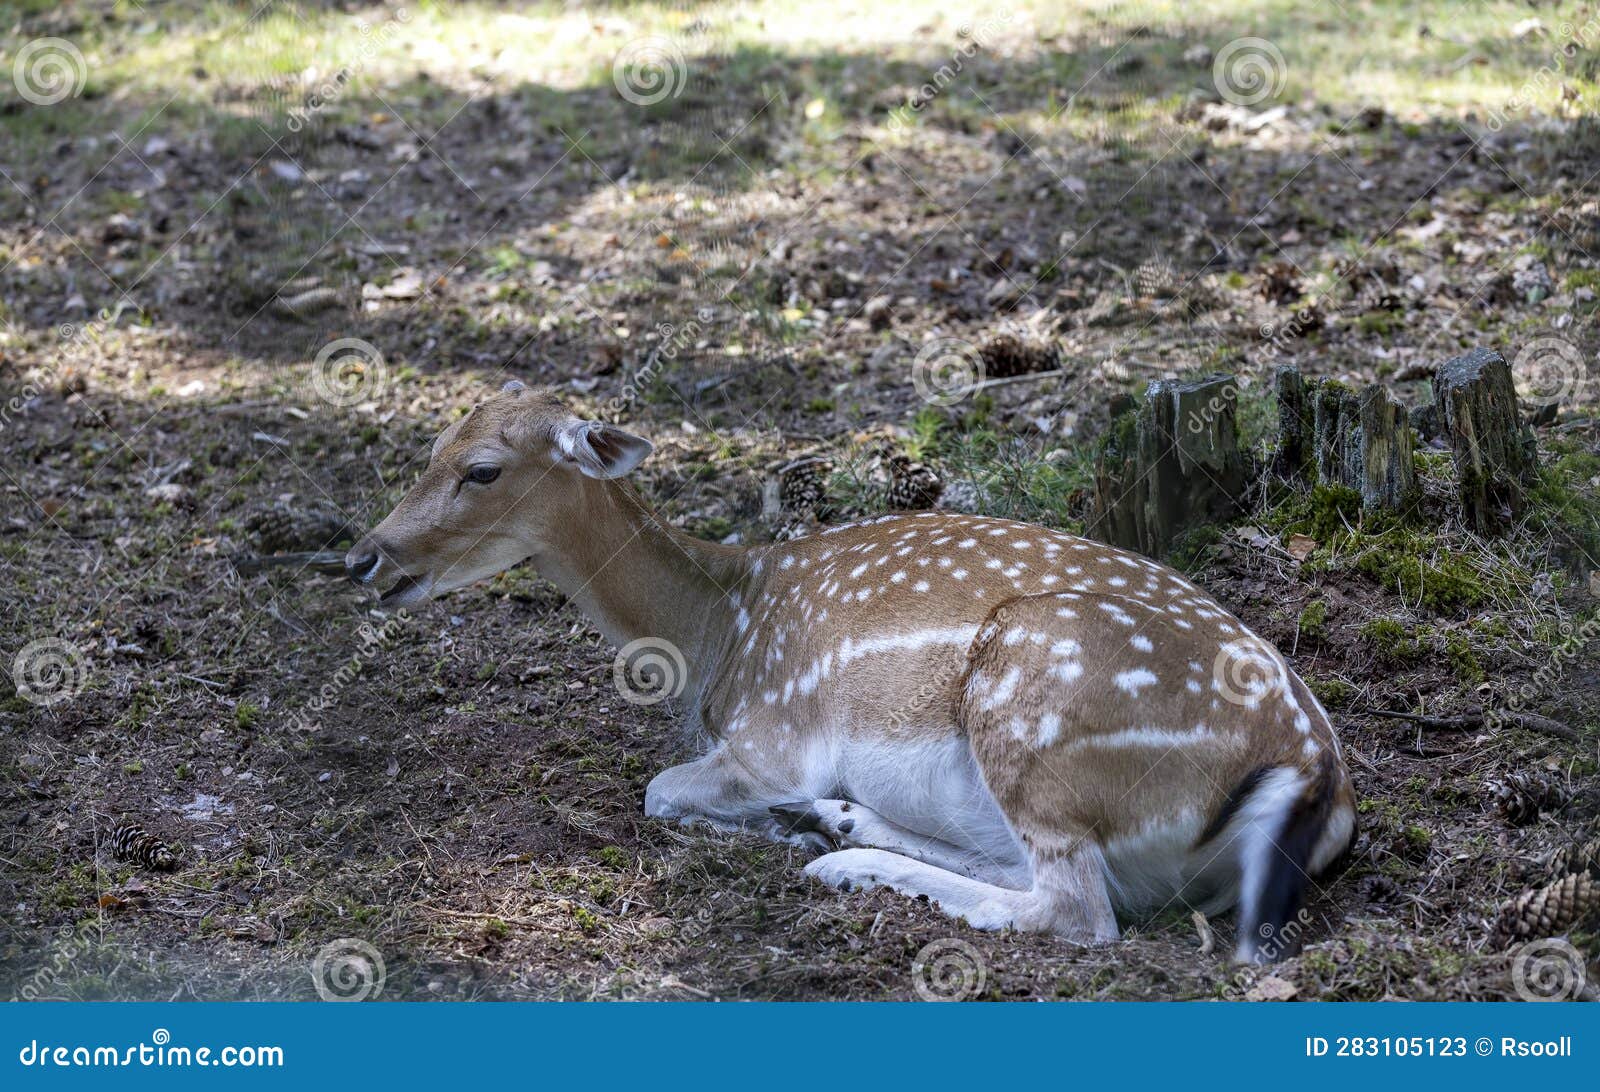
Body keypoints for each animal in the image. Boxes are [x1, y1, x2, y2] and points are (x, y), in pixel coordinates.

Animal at [346, 383, 1356, 961]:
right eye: (431, 447)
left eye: (482, 469)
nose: (362, 557)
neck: (716, 634)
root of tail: (1319, 782)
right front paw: (796, 820)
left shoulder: (773, 736)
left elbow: (659, 791)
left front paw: (770, 826)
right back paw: (838, 824)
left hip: (1032, 699)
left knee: (1077, 911)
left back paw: (840, 860)